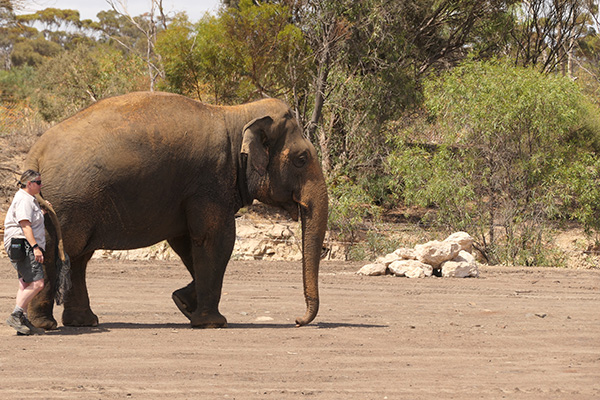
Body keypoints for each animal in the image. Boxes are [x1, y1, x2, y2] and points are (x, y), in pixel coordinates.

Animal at [24, 92, 328, 330]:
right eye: (302, 159)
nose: (298, 320)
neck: (235, 114)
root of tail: (34, 154)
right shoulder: (210, 181)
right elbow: (216, 239)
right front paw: (212, 322)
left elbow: (186, 242)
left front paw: (183, 303)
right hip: (68, 203)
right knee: (60, 251)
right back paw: (46, 324)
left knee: (78, 256)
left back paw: (82, 322)